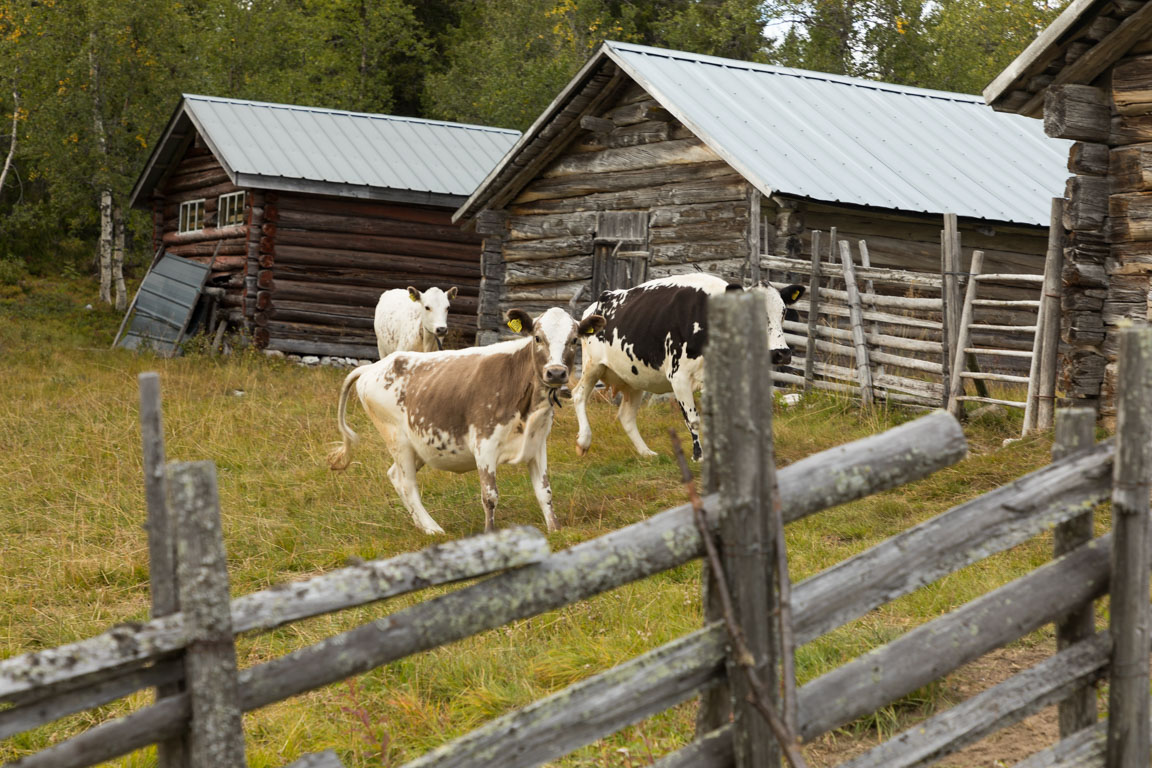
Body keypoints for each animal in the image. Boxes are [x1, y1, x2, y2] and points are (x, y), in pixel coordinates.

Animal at [329, 306, 608, 534]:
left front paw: (555, 529)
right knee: (407, 483)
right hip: (397, 438)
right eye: (538, 338)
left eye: (574, 340)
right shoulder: (484, 444)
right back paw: (433, 529)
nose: (556, 372)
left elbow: (544, 491)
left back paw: (422, 526)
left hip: (420, 443)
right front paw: (489, 533)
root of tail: (374, 366)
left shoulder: (537, 443)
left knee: (395, 476)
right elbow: (490, 496)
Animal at [571, 272, 806, 460]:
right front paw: (699, 456)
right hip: (593, 365)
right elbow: (693, 420)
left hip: (634, 377)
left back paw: (646, 453)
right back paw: (583, 441)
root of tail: (599, 302)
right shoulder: (679, 377)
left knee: (626, 416)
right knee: (578, 395)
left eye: (784, 312)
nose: (781, 353)